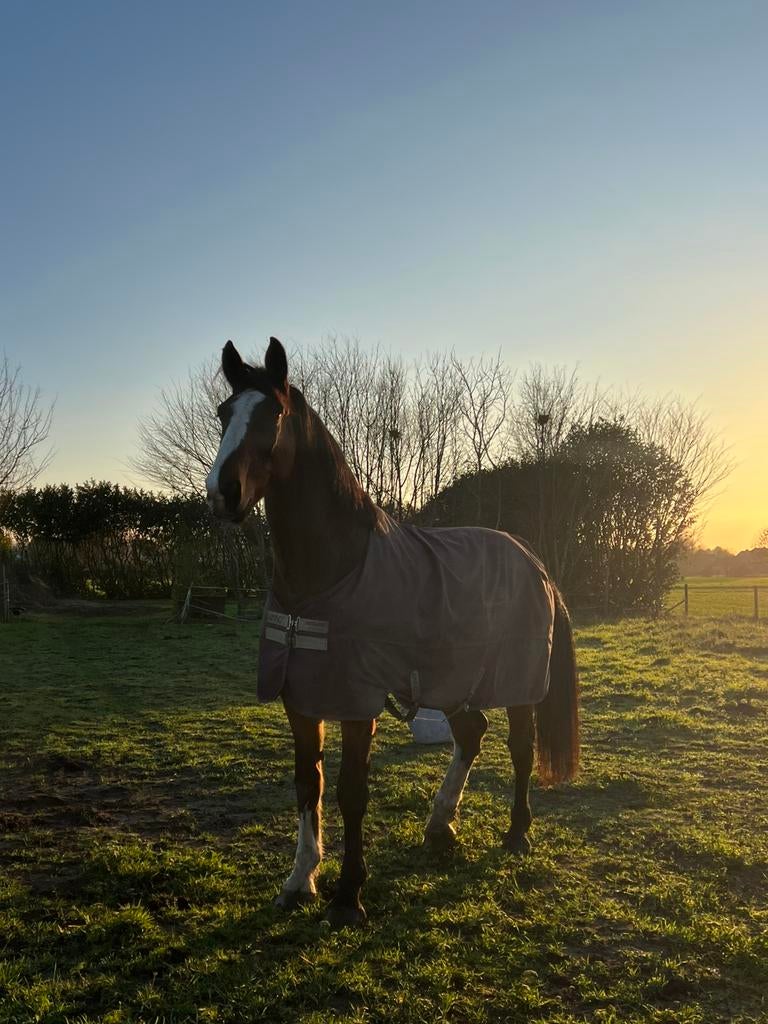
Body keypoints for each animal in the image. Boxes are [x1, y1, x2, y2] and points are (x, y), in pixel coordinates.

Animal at [205, 337, 579, 927]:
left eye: (275, 415)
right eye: (224, 412)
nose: (225, 493)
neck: (329, 571)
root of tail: (533, 561)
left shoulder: (358, 701)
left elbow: (350, 791)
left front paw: (348, 896)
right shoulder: (301, 696)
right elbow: (307, 784)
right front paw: (300, 881)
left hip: (518, 682)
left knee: (521, 747)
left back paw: (517, 834)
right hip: (449, 679)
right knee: (471, 733)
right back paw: (440, 825)